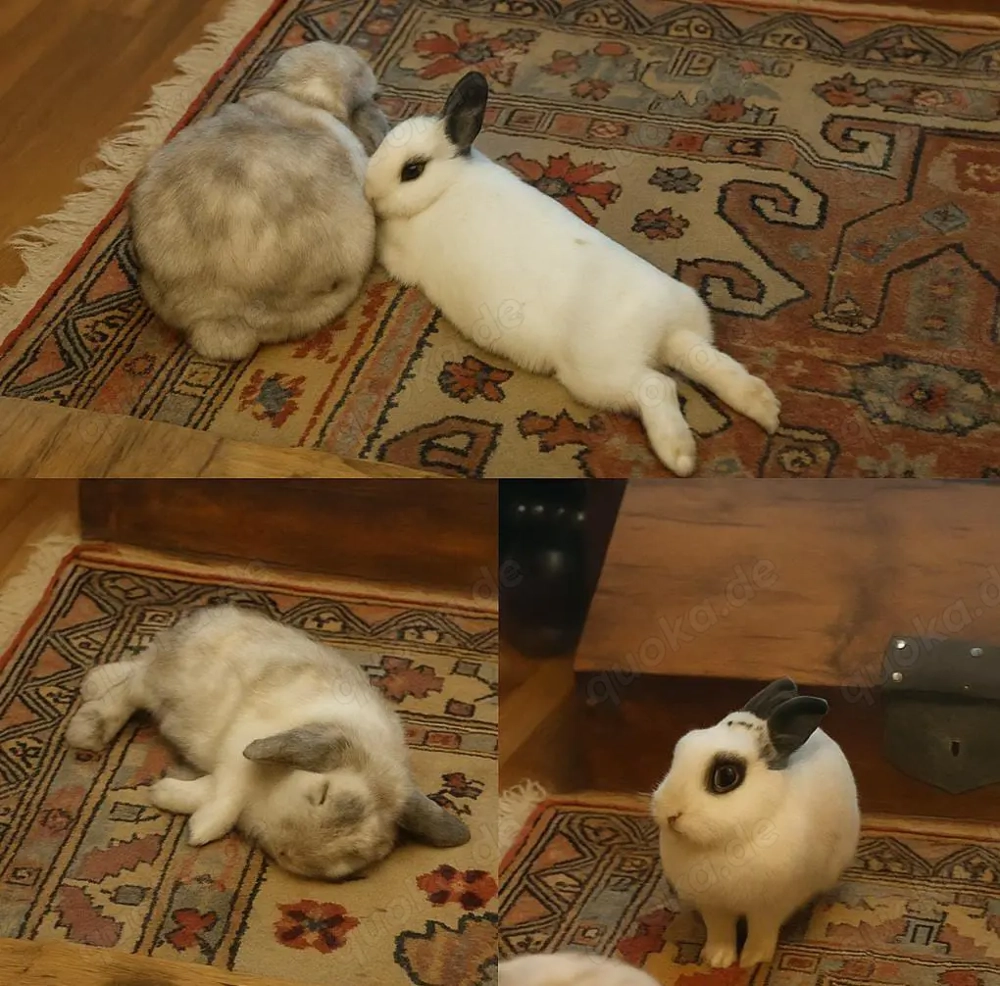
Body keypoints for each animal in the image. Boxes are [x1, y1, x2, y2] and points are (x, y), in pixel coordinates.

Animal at [64, 605, 470, 880]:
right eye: (321, 794)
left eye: (350, 859)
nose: (287, 850)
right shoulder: (241, 750)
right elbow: (228, 798)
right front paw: (200, 830)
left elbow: (212, 789)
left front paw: (165, 793)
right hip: (164, 681)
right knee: (131, 686)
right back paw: (88, 725)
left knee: (134, 670)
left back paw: (93, 683)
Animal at [364, 71, 780, 477]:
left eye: (412, 170)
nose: (368, 191)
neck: (446, 186)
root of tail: (661, 333)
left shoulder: (404, 258)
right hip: (683, 338)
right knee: (711, 363)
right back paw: (768, 410)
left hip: (598, 374)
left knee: (658, 385)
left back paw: (680, 457)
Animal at [651, 678, 859, 969]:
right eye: (681, 747)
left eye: (726, 776)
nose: (670, 813)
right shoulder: (714, 908)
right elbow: (720, 932)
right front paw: (717, 960)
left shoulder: (769, 908)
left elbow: (762, 933)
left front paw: (752, 960)